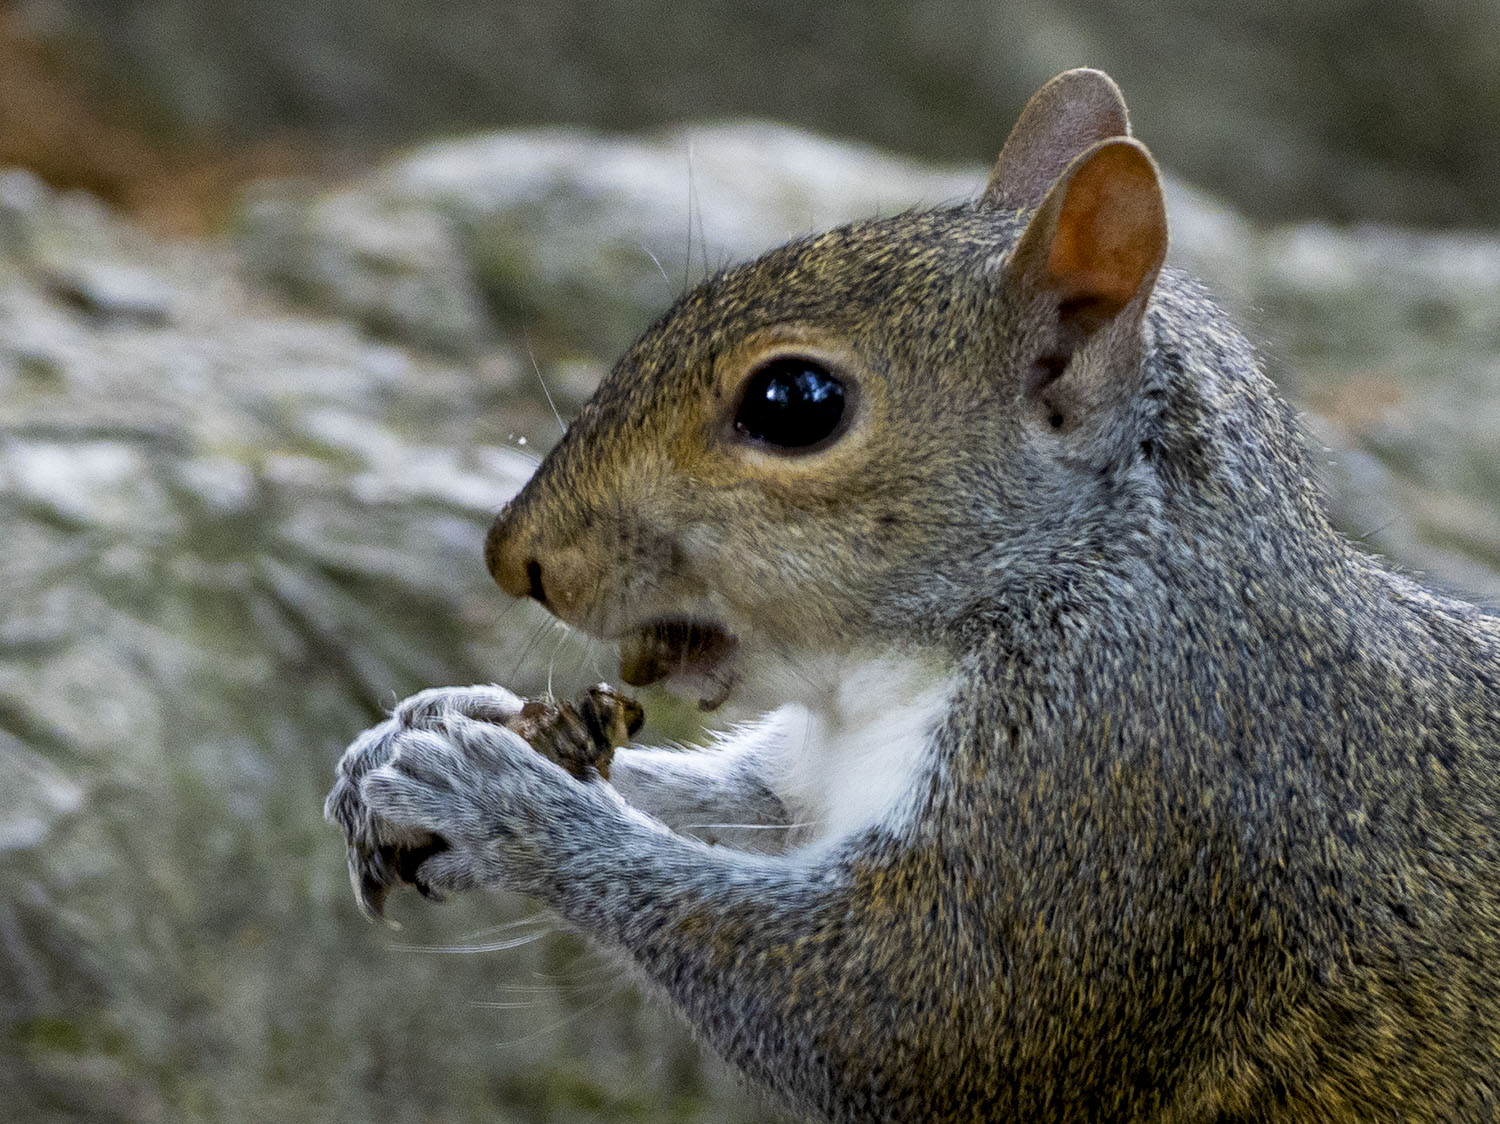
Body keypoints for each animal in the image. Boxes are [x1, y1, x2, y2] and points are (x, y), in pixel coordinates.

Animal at [325, 70, 1500, 1122]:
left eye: (795, 401)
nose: (512, 557)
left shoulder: (1113, 783)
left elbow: (899, 1010)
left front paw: (501, 803)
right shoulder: (816, 783)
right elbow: (738, 803)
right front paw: (439, 725)